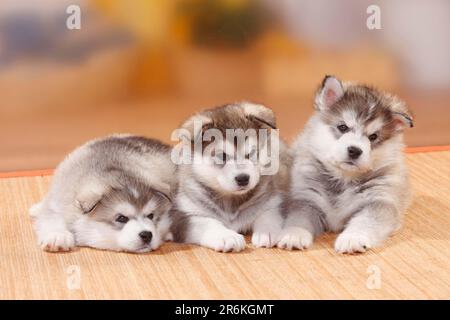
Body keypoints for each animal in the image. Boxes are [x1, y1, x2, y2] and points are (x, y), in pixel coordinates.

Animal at [30, 134, 175, 252]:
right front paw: (57, 236)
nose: (147, 235)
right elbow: (51, 216)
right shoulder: (59, 199)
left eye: (151, 215)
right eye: (121, 218)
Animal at [169, 102, 288, 252]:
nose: (243, 178)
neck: (231, 200)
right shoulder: (184, 216)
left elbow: (268, 214)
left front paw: (266, 231)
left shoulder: (272, 201)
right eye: (222, 156)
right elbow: (207, 223)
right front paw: (227, 236)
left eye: (251, 153)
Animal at [280, 76, 414, 254]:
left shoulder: (379, 202)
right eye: (343, 127)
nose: (354, 150)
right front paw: (294, 234)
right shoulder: (307, 198)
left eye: (373, 137)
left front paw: (353, 238)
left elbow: (365, 222)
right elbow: (298, 219)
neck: (343, 179)